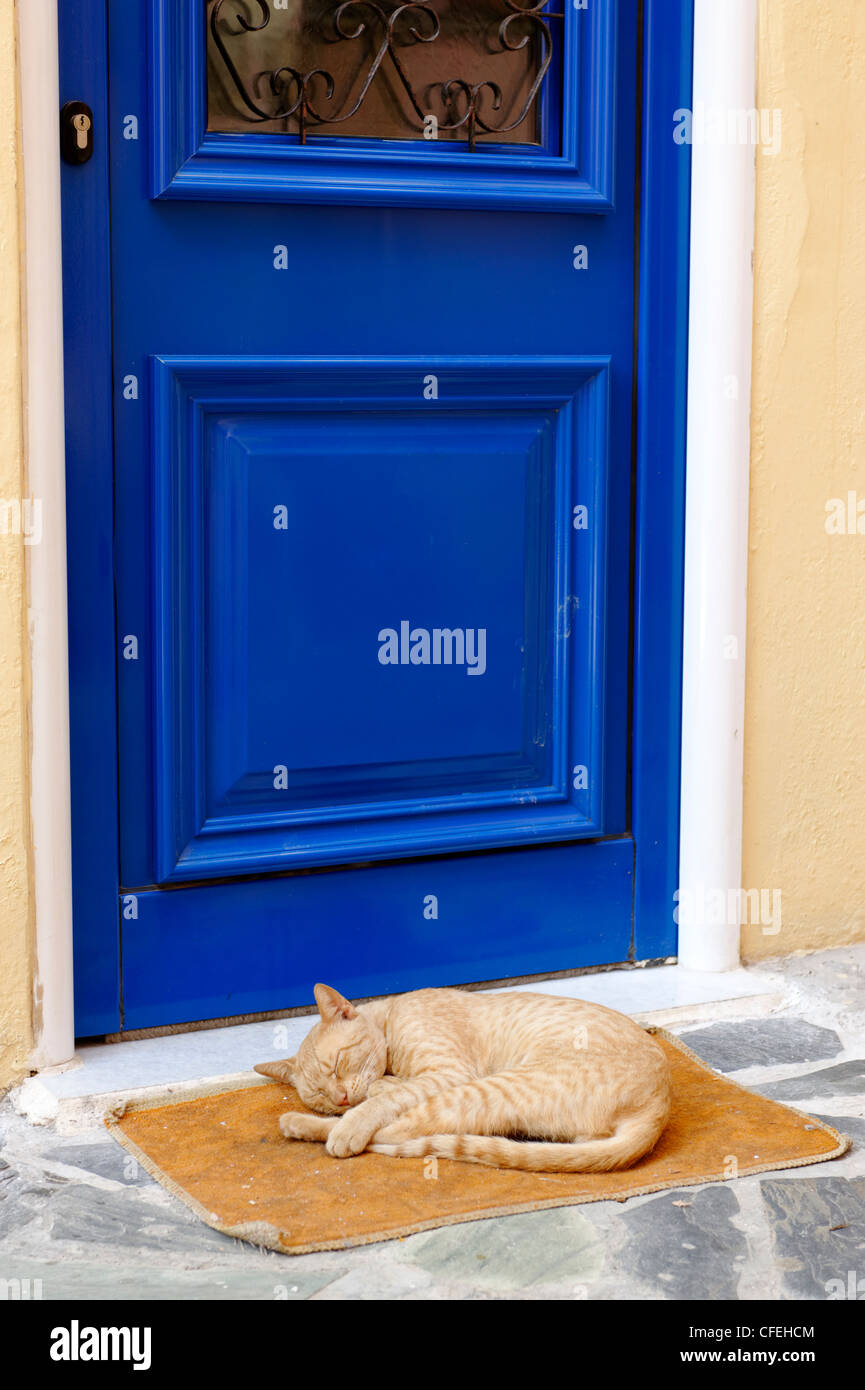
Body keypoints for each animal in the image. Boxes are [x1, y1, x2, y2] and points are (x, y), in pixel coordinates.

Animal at [254, 978, 675, 1173]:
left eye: (339, 1063)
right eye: (320, 1094)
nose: (339, 1098)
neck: (391, 1015)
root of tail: (658, 1107)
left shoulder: (448, 1073)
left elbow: (382, 1098)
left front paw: (368, 1101)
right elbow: (385, 1091)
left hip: (486, 1088)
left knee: (399, 1131)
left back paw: (310, 1126)